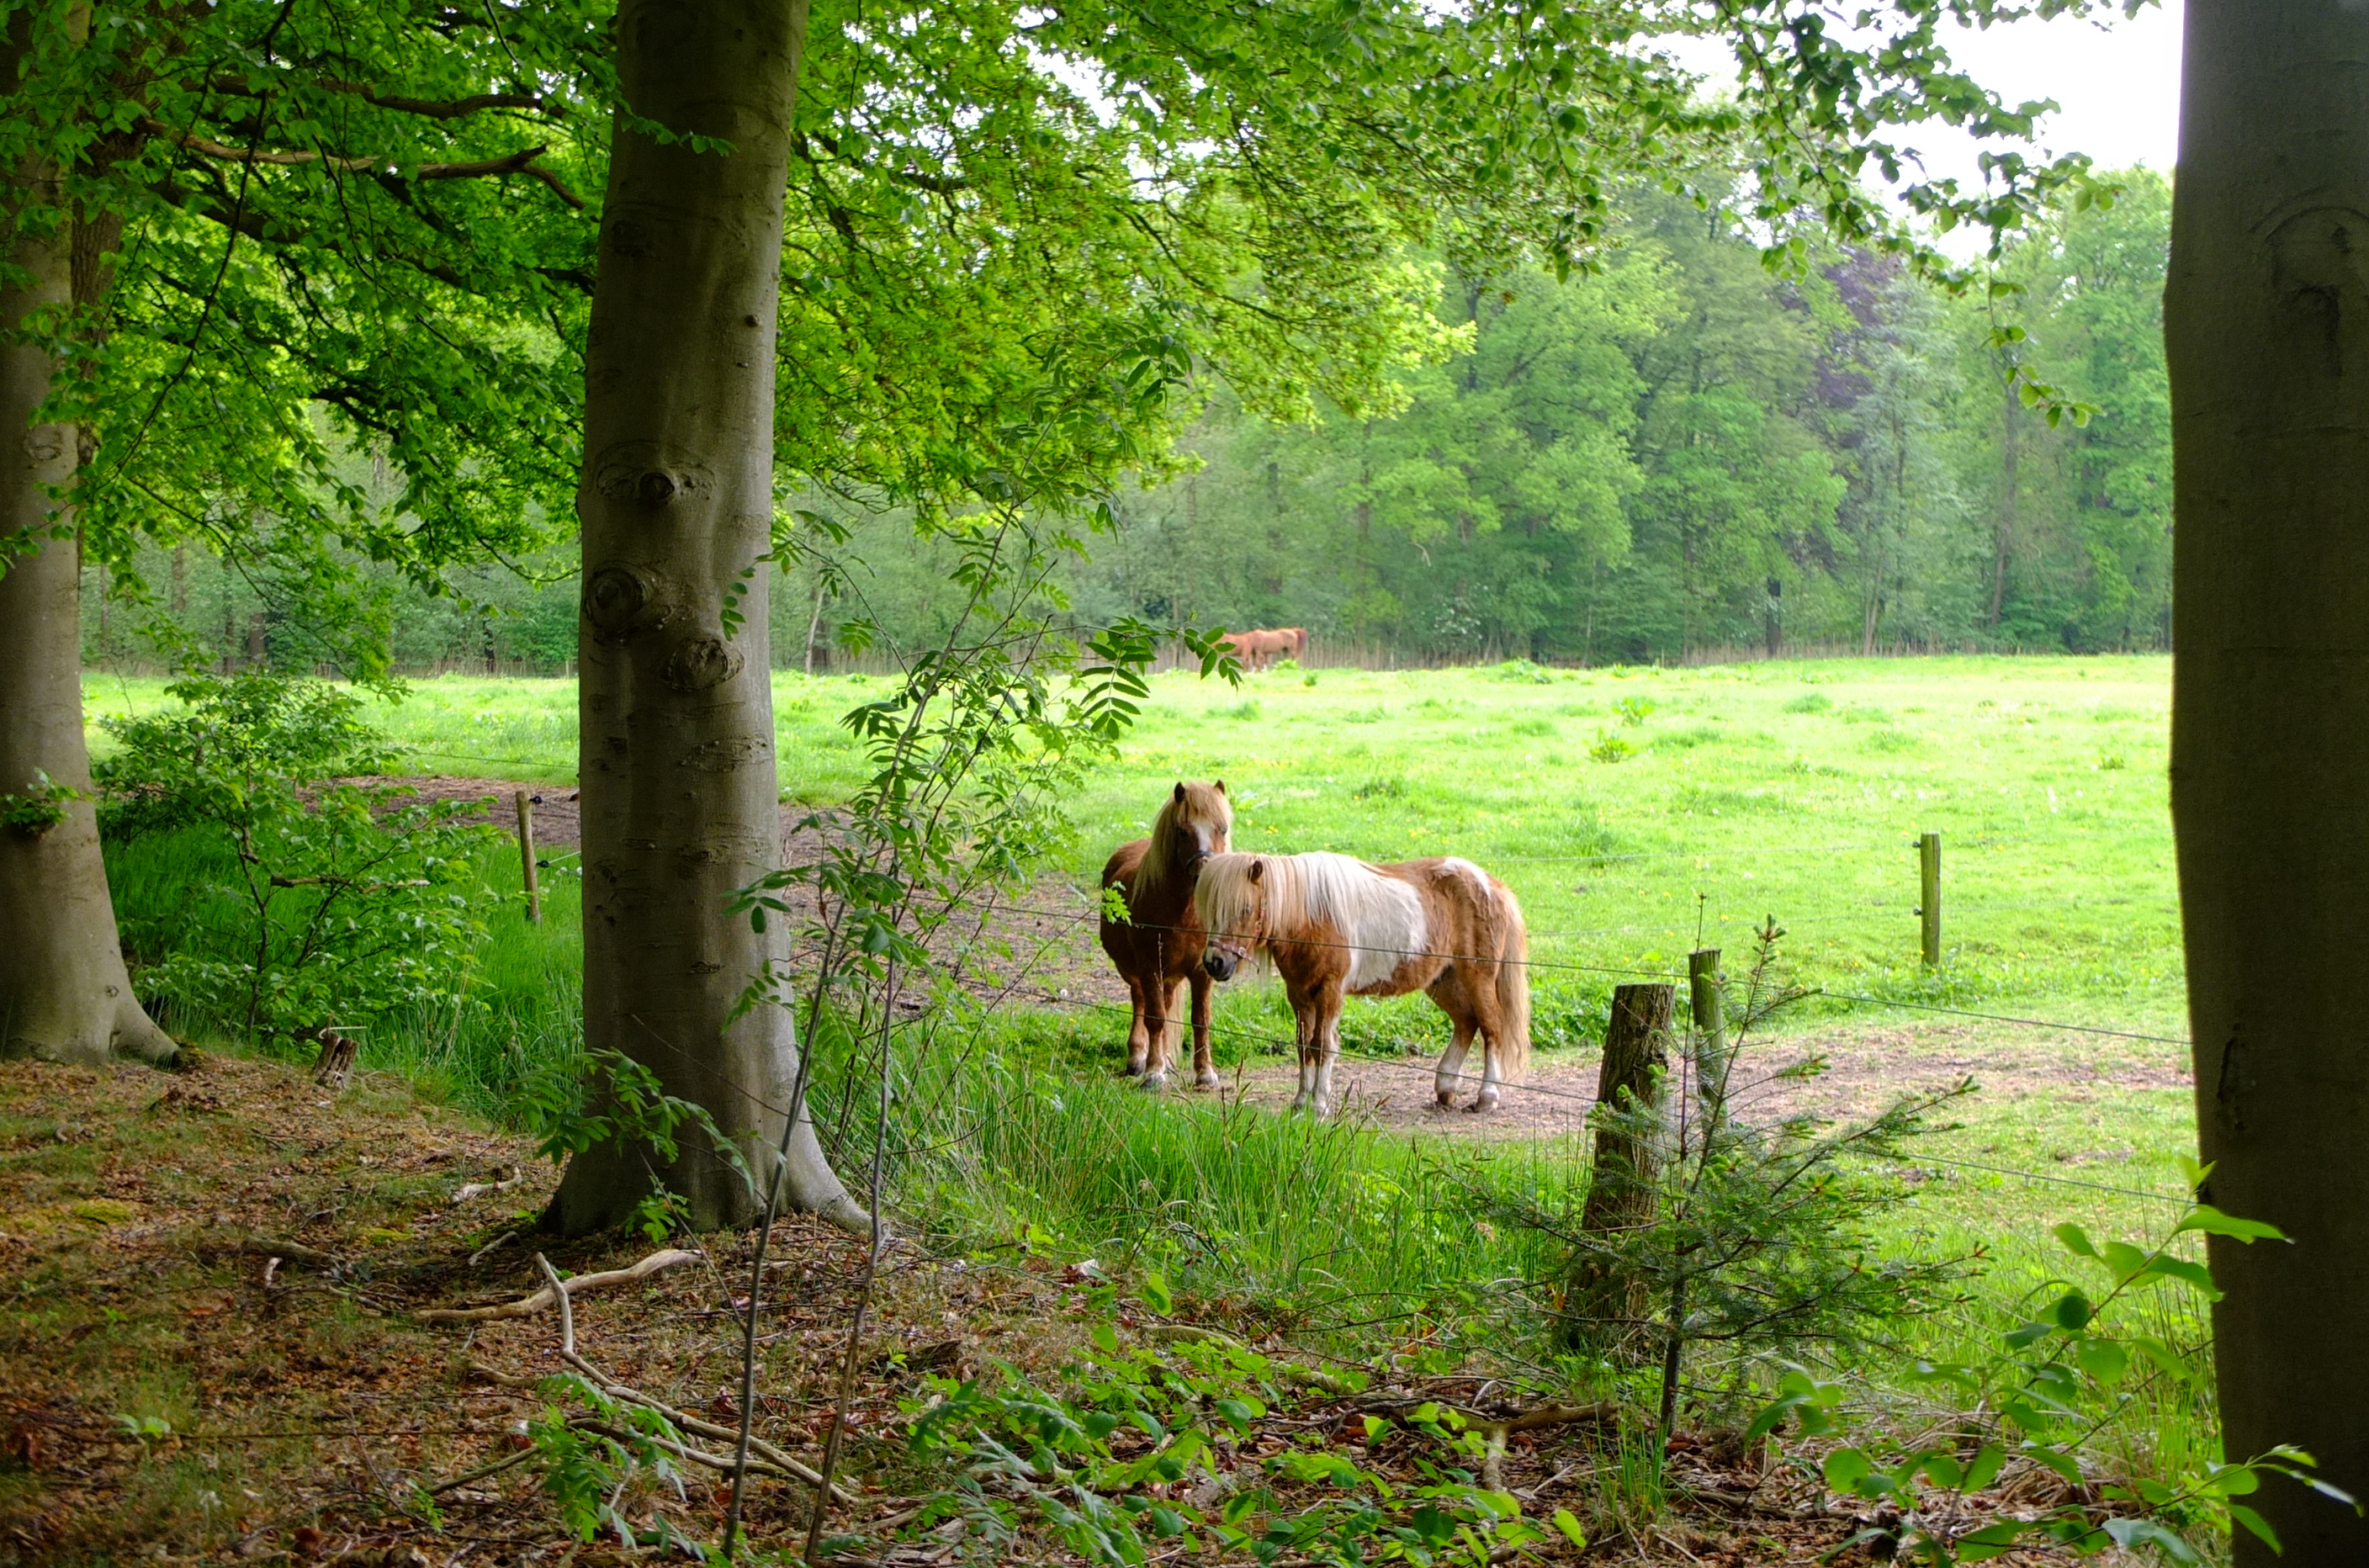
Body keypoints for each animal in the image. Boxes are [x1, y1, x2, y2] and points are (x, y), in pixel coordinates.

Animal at [1098, 781, 1233, 1090]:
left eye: (1222, 828)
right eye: (1183, 831)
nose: (1206, 874)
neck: (1184, 914)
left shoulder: (1202, 971)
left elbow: (1200, 1020)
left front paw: (1205, 1073)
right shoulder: (1150, 968)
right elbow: (1155, 1018)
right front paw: (1153, 1073)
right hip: (1135, 971)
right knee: (1140, 1003)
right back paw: (1139, 1058)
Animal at [1195, 850, 1529, 1116]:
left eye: (1244, 909)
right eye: (1211, 911)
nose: (1214, 963)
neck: (1310, 916)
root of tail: (1493, 885)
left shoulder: (1330, 992)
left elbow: (1323, 1046)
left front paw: (1319, 1105)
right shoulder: (1299, 993)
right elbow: (1304, 1046)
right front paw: (1301, 1102)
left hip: (1477, 978)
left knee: (1491, 1028)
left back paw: (1487, 1097)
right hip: (1442, 982)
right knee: (1466, 1023)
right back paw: (1445, 1088)